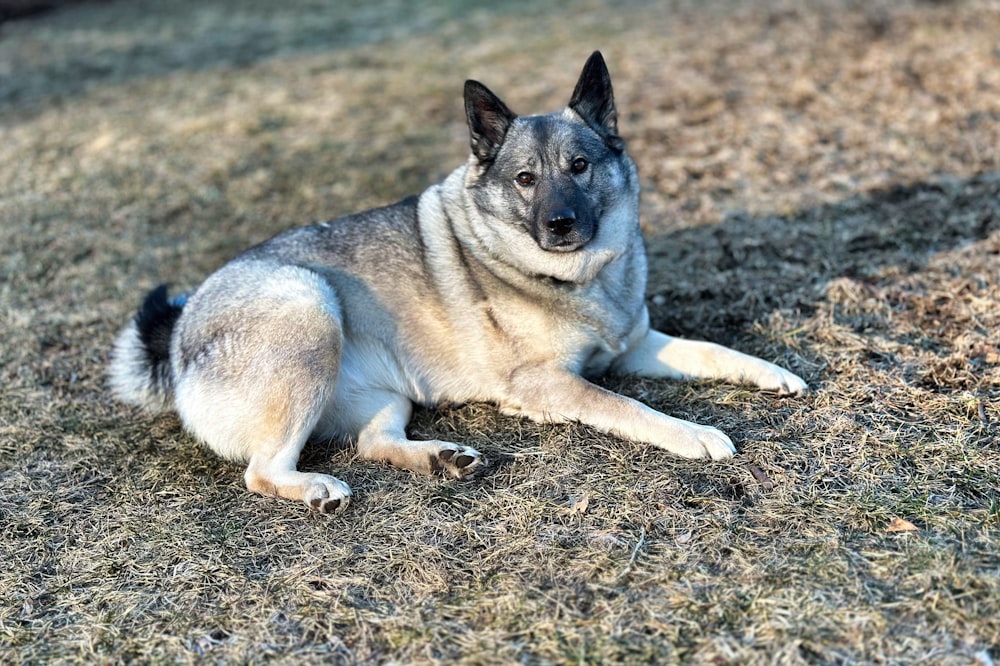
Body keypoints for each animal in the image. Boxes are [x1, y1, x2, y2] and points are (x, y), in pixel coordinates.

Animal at [109, 52, 808, 510]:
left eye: (580, 166)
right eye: (525, 178)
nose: (559, 224)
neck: (575, 277)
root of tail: (179, 332)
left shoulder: (633, 346)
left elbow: (711, 350)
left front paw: (771, 372)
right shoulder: (553, 379)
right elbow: (627, 405)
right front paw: (694, 434)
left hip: (388, 393)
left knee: (374, 442)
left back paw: (441, 457)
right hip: (309, 305)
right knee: (262, 471)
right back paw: (315, 489)